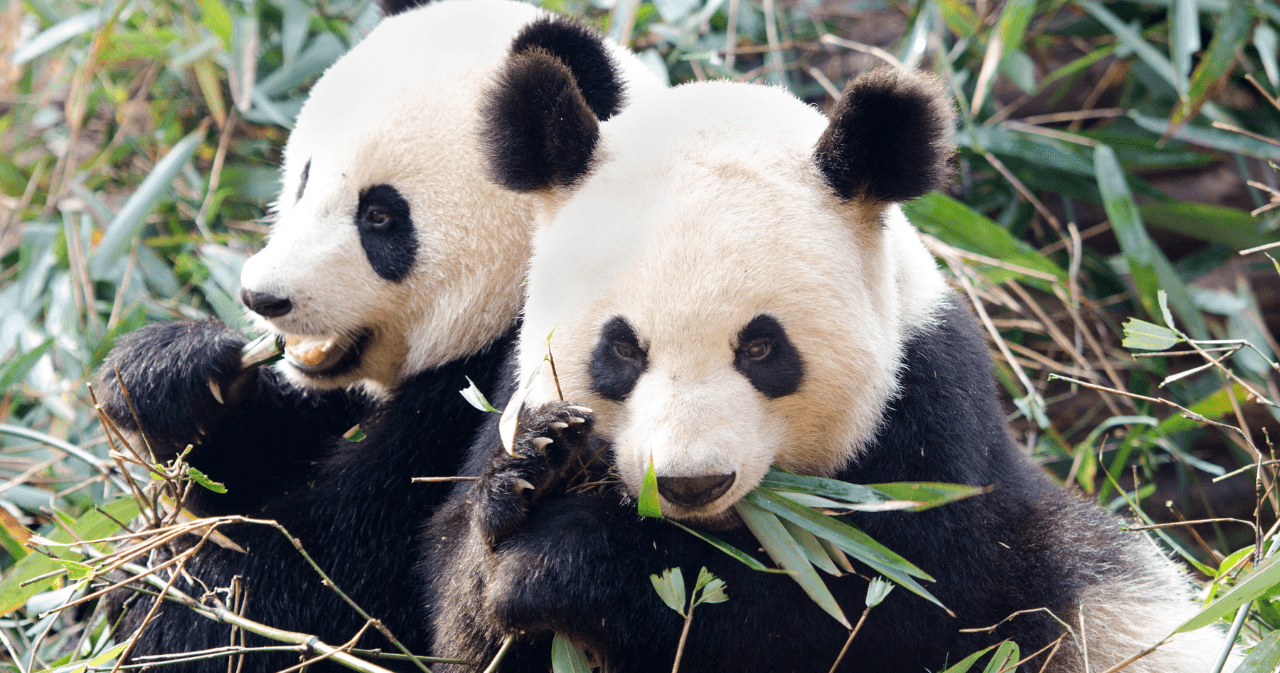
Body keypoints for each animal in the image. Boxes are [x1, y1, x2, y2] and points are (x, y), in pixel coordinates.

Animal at [96, 3, 663, 670]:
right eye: (303, 181)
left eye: (380, 216)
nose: (264, 297)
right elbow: (263, 463)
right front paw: (173, 374)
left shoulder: (491, 392)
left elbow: (343, 570)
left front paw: (174, 620)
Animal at [424, 41, 1231, 673]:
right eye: (621, 348)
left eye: (760, 347)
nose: (690, 482)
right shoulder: (508, 391)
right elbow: (462, 609)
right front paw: (538, 471)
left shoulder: (928, 433)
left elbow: (866, 615)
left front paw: (566, 563)